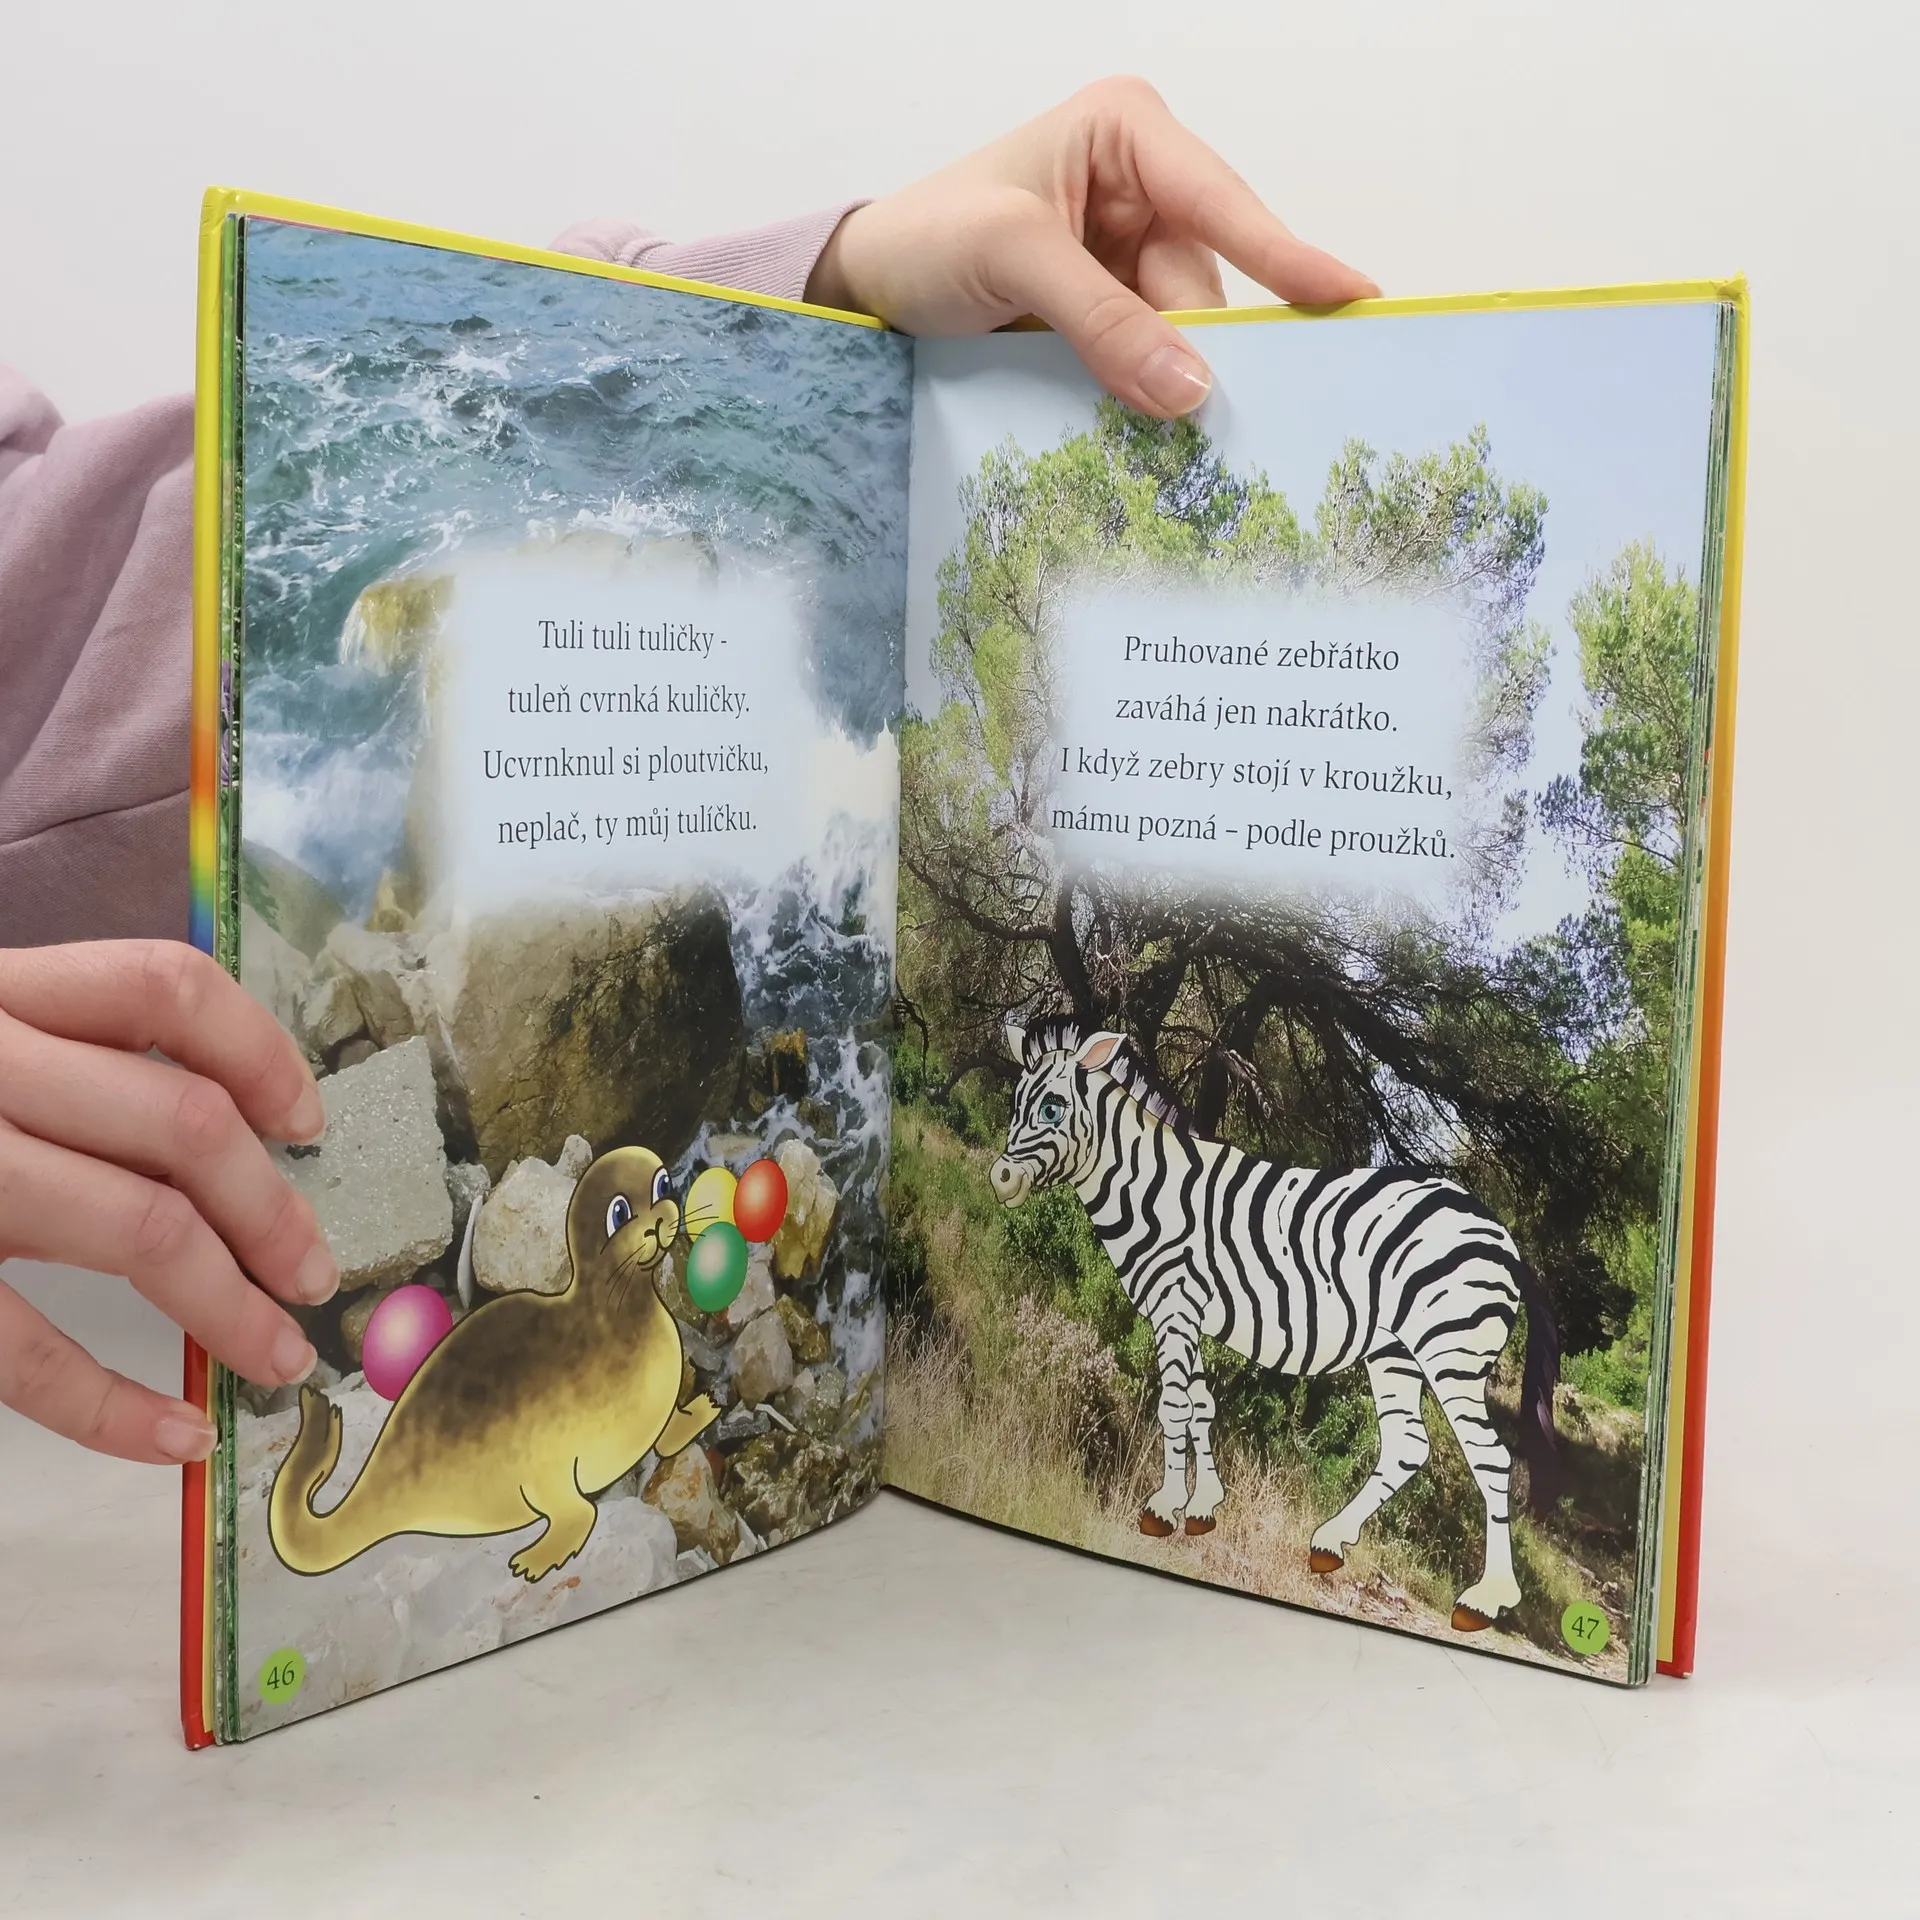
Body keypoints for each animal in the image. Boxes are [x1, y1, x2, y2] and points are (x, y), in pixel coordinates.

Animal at [989, 1020, 1559, 1632]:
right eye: (1017, 1103)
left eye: (1052, 1109)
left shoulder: (1175, 1306)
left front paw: (1163, 1508)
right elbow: (1202, 1404)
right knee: (1406, 1444)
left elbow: (1174, 1407)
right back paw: (1329, 1543)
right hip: (1394, 1352)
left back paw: (1484, 1599)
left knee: (1490, 1457)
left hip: (1451, 1351)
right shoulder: (1188, 1314)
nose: (999, 1178)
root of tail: (1503, 1234)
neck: (1151, 1194)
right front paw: (1203, 1507)